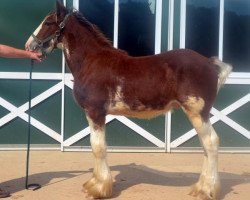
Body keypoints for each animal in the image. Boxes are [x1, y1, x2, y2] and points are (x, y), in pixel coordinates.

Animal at [25, 1, 232, 200]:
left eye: (48, 22)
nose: (29, 46)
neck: (91, 62)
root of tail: (209, 63)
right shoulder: (92, 115)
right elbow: (95, 146)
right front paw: (93, 184)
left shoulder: (95, 112)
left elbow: (98, 147)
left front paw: (99, 189)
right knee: (205, 147)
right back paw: (199, 188)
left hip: (198, 113)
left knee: (211, 143)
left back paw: (207, 190)